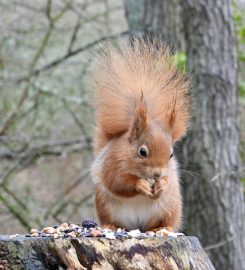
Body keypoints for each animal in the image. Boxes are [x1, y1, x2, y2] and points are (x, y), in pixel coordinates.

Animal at [91, 38, 190, 232]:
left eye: (171, 154)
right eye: (142, 152)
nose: (157, 174)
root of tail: (137, 227)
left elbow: (167, 181)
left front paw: (162, 184)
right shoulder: (113, 163)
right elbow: (118, 182)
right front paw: (141, 185)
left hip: (170, 207)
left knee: (164, 222)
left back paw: (161, 228)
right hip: (106, 206)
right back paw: (110, 226)